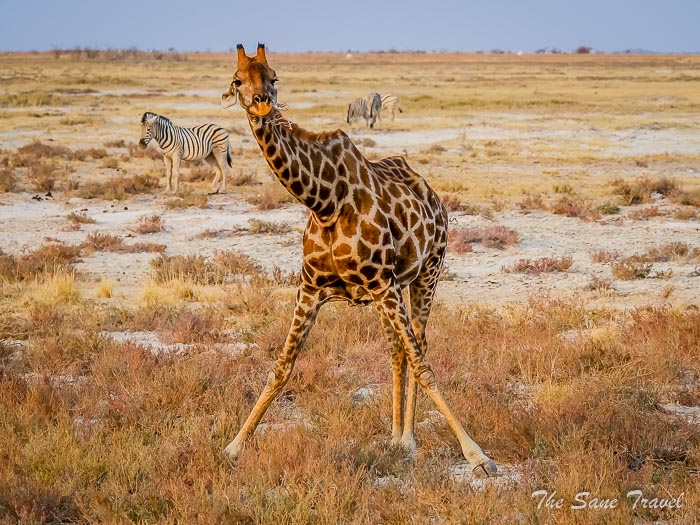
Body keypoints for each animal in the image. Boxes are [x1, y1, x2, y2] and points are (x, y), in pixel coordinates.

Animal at [220, 44, 497, 478]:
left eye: (274, 77)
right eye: (237, 80)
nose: (261, 102)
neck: (324, 201)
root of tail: (433, 193)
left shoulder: (383, 283)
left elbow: (424, 365)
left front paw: (477, 455)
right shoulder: (311, 288)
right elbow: (281, 366)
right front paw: (233, 446)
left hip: (427, 272)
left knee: (419, 345)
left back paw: (409, 439)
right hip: (392, 290)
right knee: (397, 349)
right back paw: (397, 438)